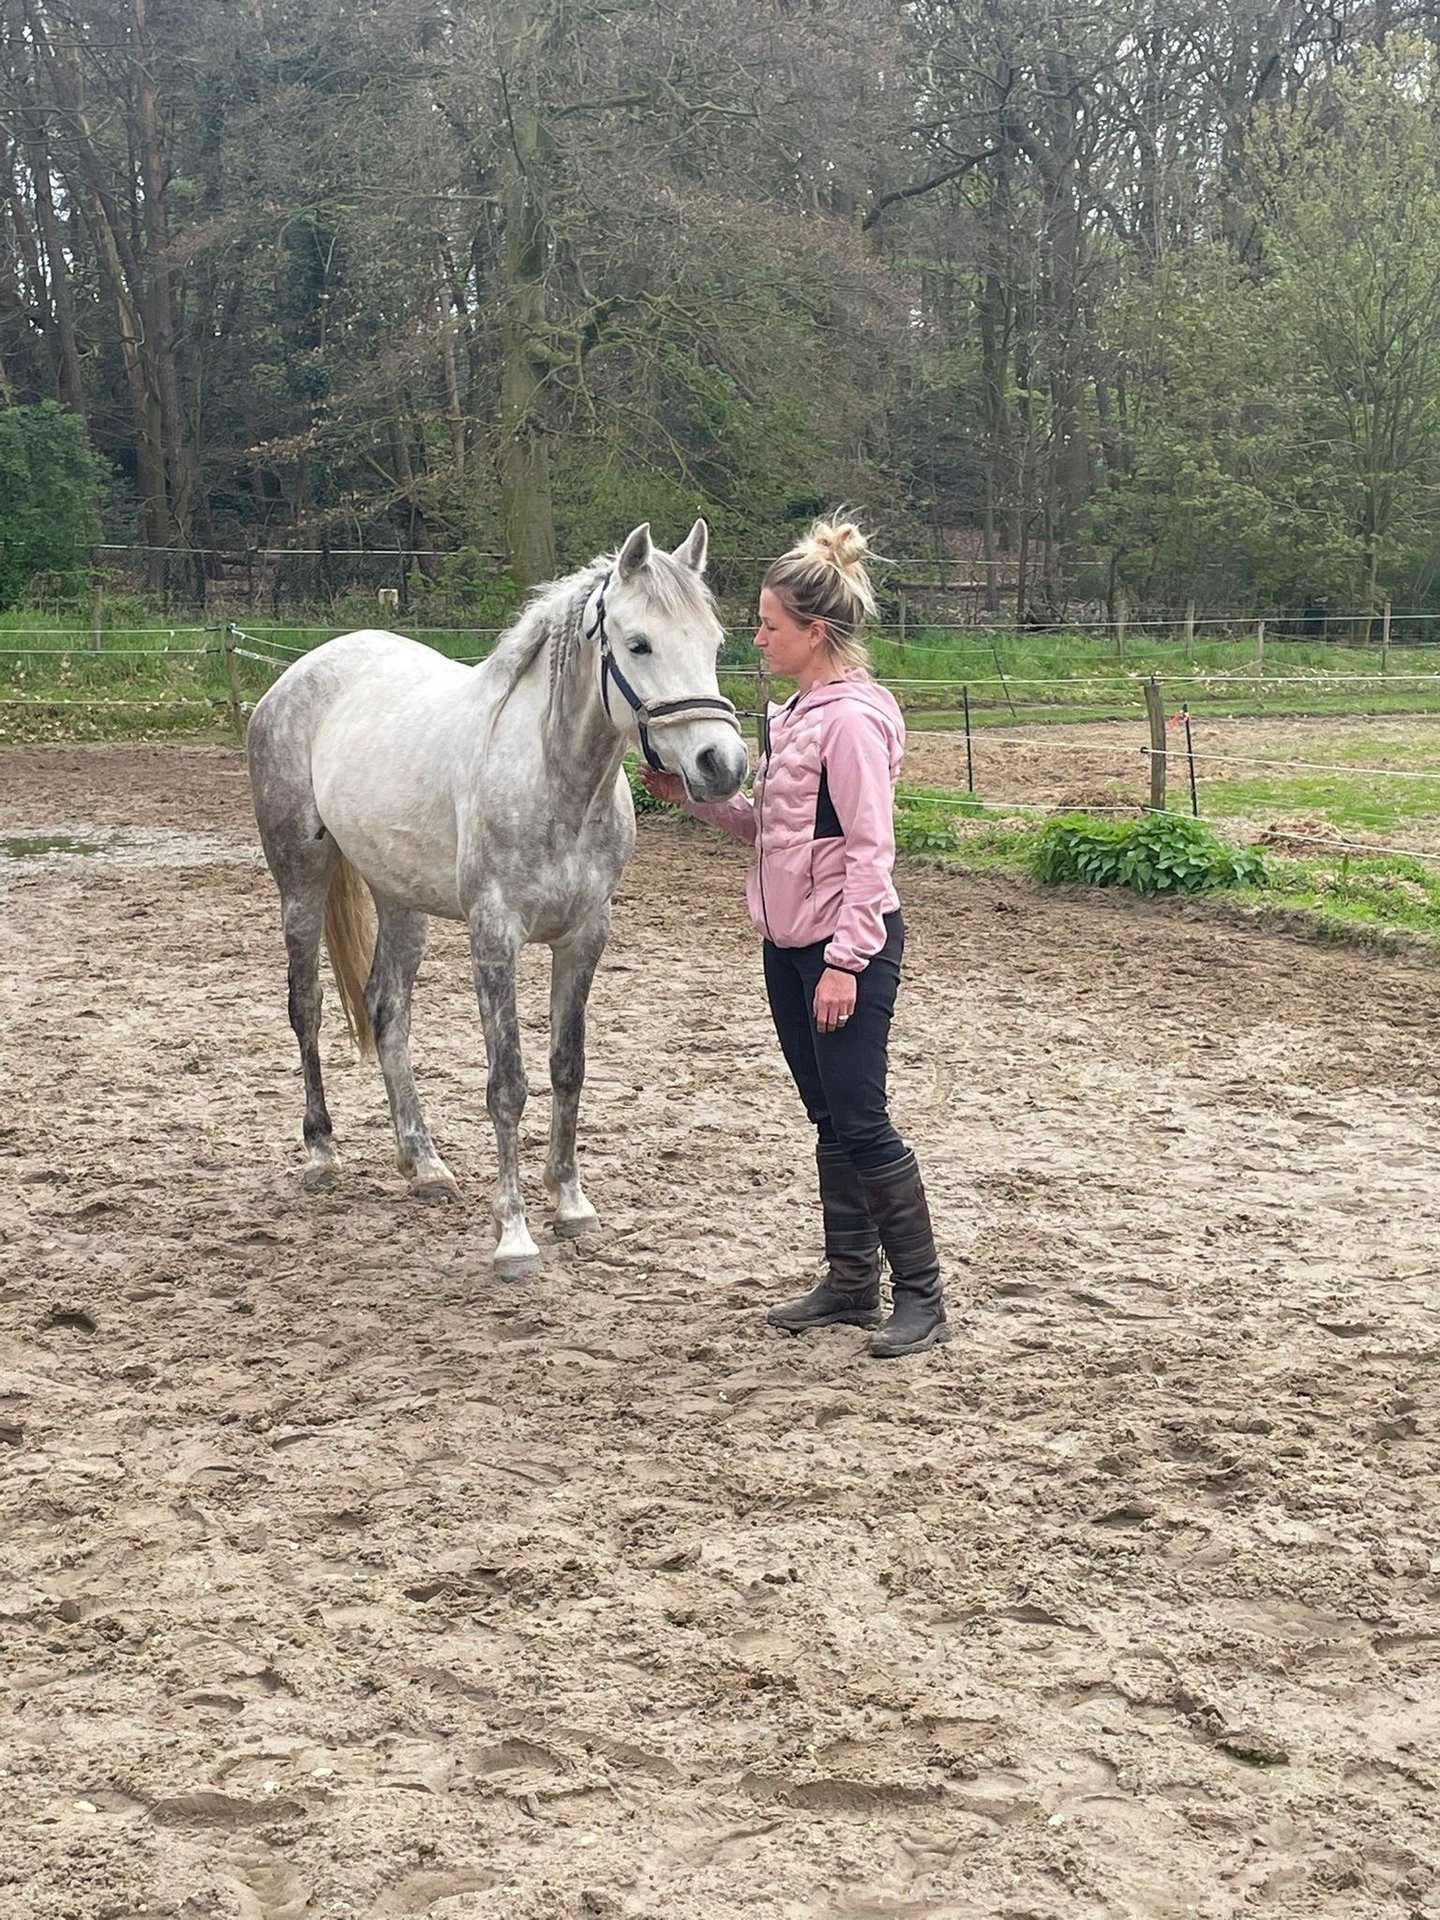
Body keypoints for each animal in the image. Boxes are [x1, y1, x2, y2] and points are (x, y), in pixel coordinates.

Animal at [247, 520, 747, 1278]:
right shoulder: (495, 937)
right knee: (305, 1007)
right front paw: (513, 1236)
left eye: (714, 643)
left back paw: (423, 1163)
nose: (723, 765)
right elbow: (507, 1083)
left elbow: (567, 1068)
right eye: (639, 644)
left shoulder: (584, 937)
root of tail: (296, 676)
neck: (554, 782)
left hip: (400, 900)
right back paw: (321, 1152)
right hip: (300, 881)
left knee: (387, 1012)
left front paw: (571, 1202)